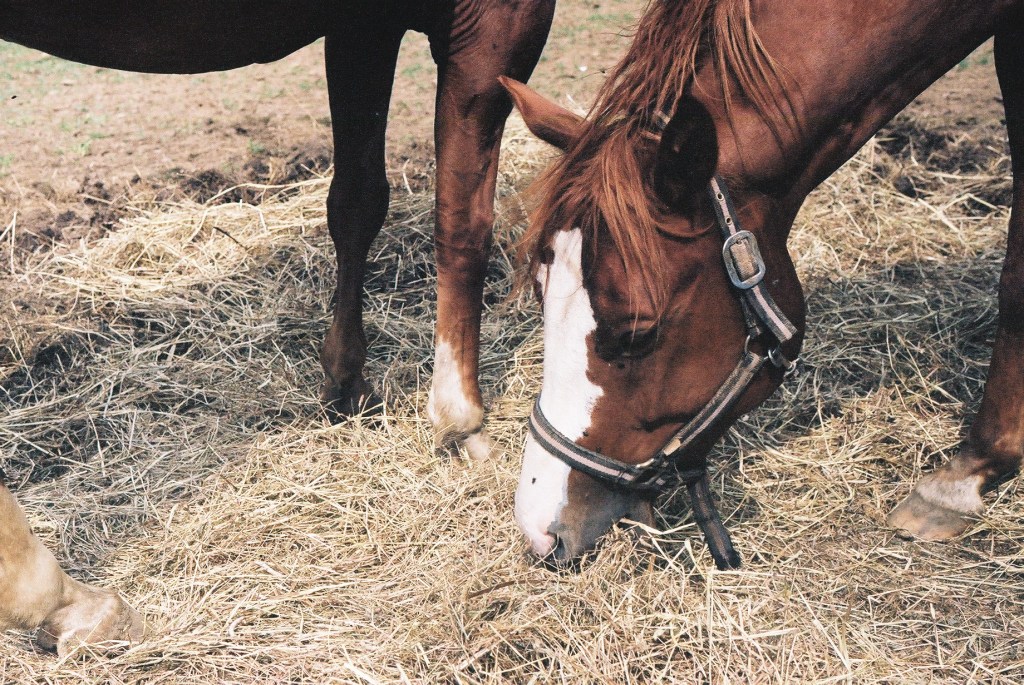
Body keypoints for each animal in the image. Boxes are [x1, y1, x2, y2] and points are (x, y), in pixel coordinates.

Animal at [0, 0, 554, 653]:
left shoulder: (363, 26)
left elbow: (358, 199)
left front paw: (347, 383)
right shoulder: (492, 26)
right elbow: (464, 225)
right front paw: (461, 416)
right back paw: (71, 604)